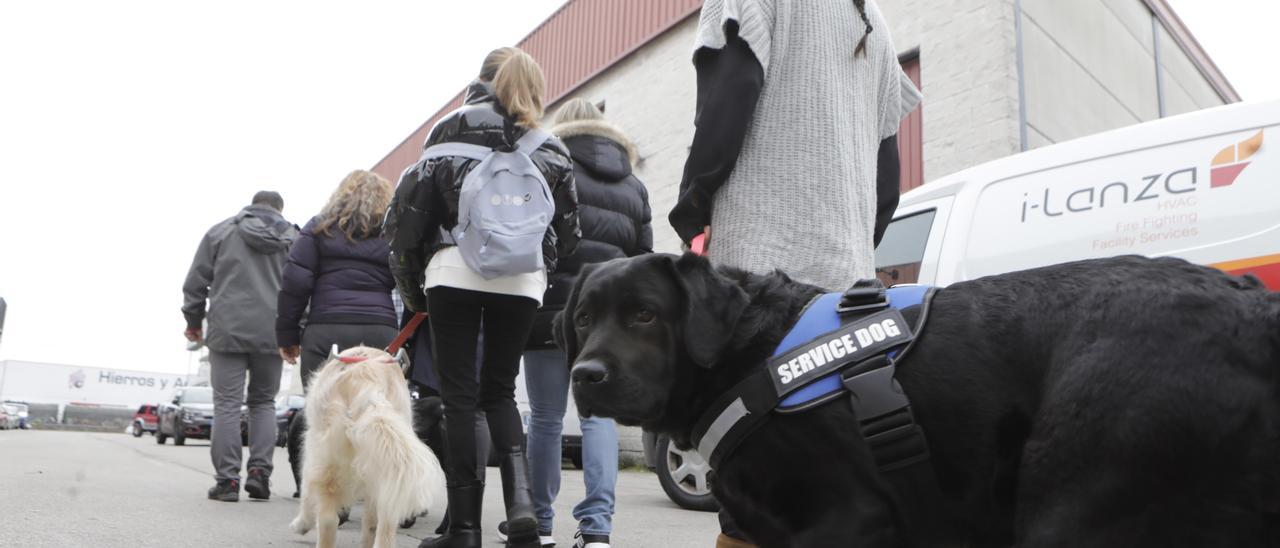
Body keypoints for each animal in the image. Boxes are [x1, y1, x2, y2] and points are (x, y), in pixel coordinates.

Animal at [290, 345, 445, 548]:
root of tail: (369, 385)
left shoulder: (311, 450)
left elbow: (306, 494)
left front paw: (301, 524)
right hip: (384, 470)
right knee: (383, 522)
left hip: (327, 458)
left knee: (328, 520)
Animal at [558, 253, 1280, 548]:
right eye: (584, 319)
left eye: (646, 316)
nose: (584, 375)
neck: (749, 351)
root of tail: (1252, 305)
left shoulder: (847, 521)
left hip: (1075, 507)